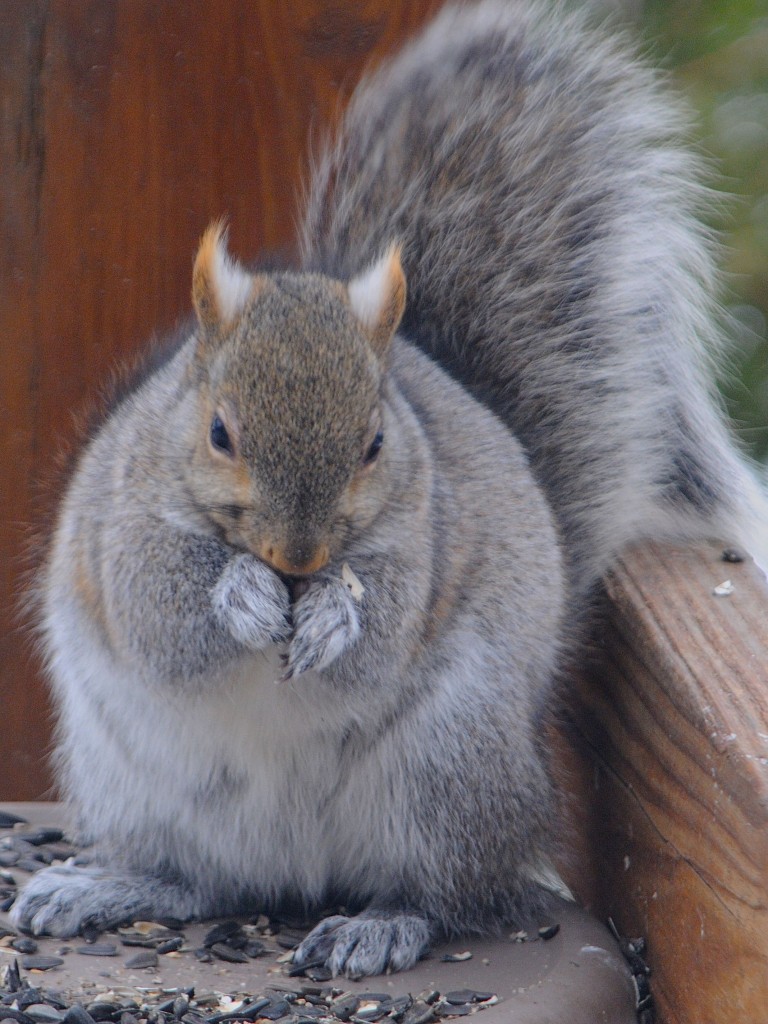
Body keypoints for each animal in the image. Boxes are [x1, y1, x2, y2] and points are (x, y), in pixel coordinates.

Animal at [10, 0, 765, 974]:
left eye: (375, 443)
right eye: (219, 432)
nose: (298, 557)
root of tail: (300, 869)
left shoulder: (425, 537)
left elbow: (387, 618)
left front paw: (335, 615)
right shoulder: (120, 526)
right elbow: (162, 612)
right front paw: (239, 595)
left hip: (445, 772)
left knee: (447, 892)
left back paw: (378, 924)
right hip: (143, 781)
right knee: (207, 881)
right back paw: (110, 887)